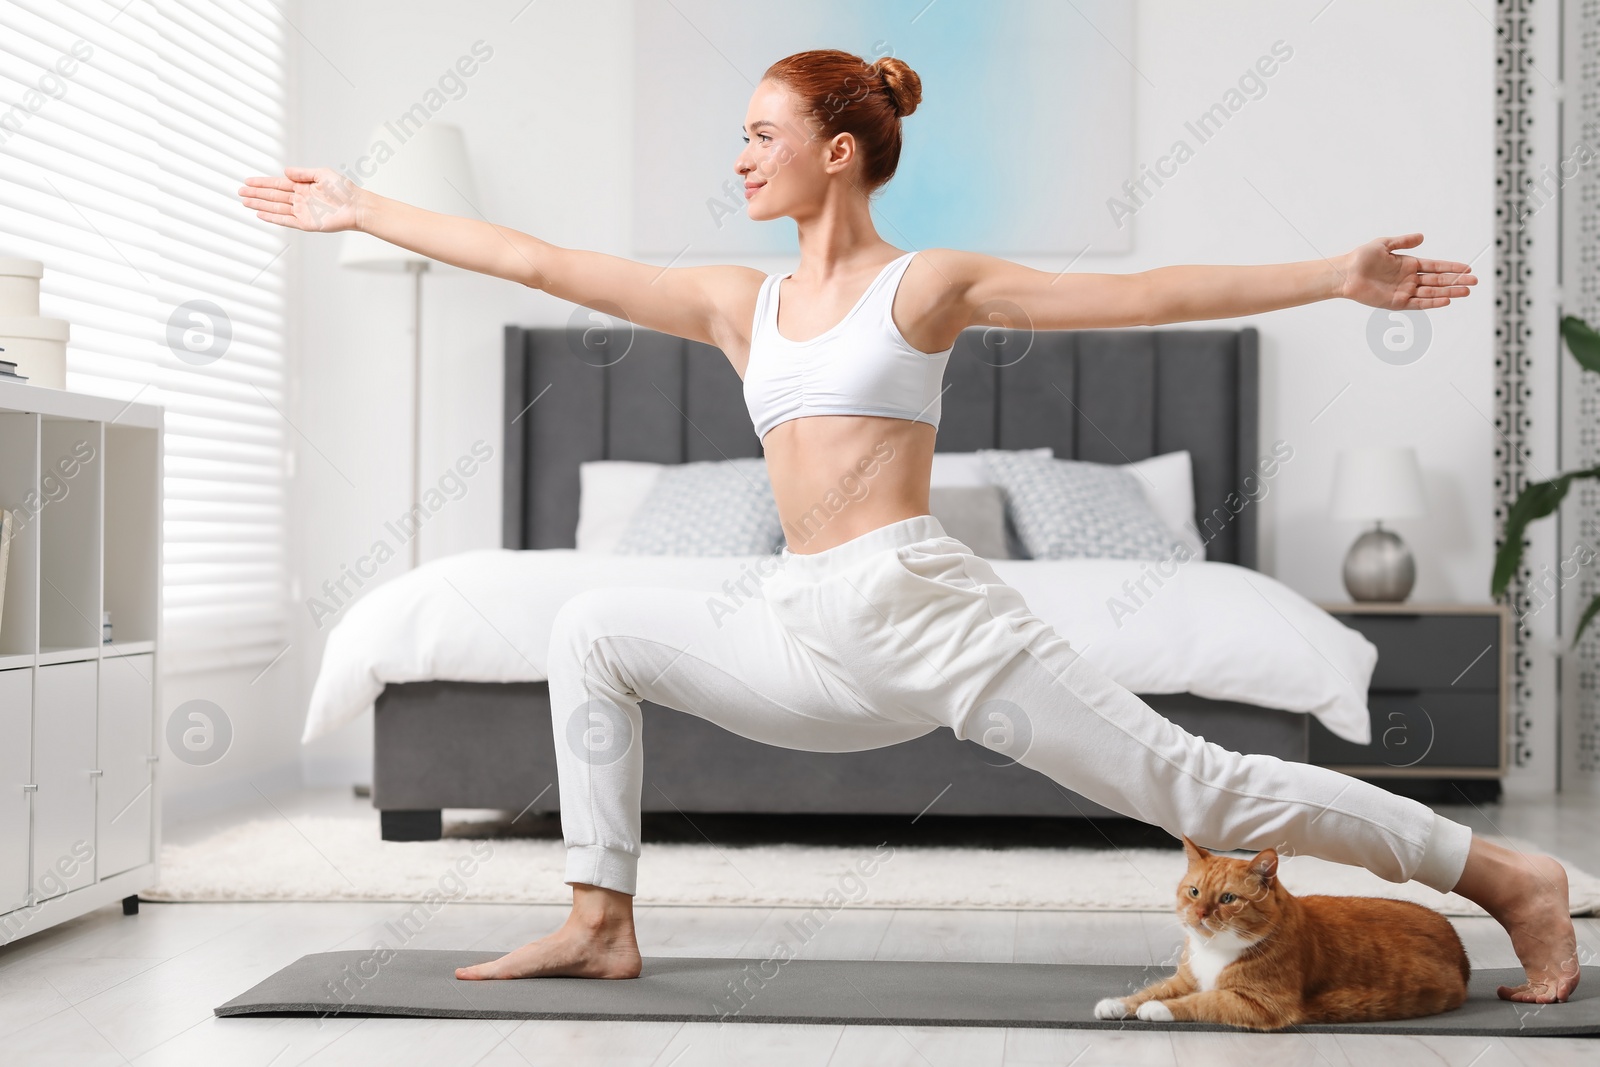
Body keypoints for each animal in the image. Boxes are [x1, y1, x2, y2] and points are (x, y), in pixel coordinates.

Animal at [1094, 838, 1465, 1030]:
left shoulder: (1261, 1003)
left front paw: (1158, 1009)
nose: (1199, 914)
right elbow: (1151, 990)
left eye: (1228, 899)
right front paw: (1119, 1004)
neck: (1215, 951)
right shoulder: (1183, 980)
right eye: (1194, 892)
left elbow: (1204, 1000)